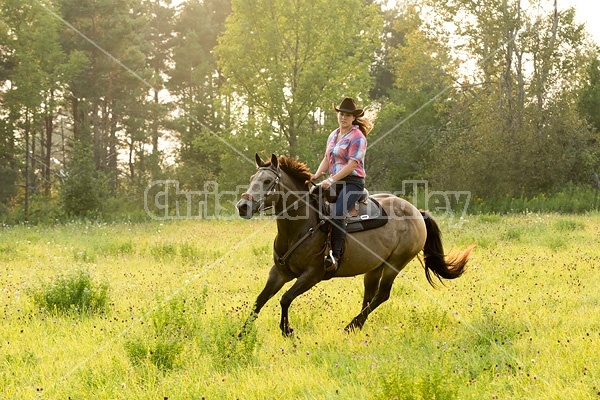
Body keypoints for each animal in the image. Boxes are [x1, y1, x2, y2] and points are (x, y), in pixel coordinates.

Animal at [237, 155, 472, 336]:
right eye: (251, 179)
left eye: (268, 181)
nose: (243, 206)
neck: (301, 227)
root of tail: (417, 212)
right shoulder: (279, 272)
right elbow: (260, 300)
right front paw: (242, 334)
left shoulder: (312, 275)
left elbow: (285, 299)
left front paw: (287, 330)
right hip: (375, 266)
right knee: (370, 297)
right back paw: (356, 326)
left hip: (395, 264)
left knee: (382, 295)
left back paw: (351, 326)